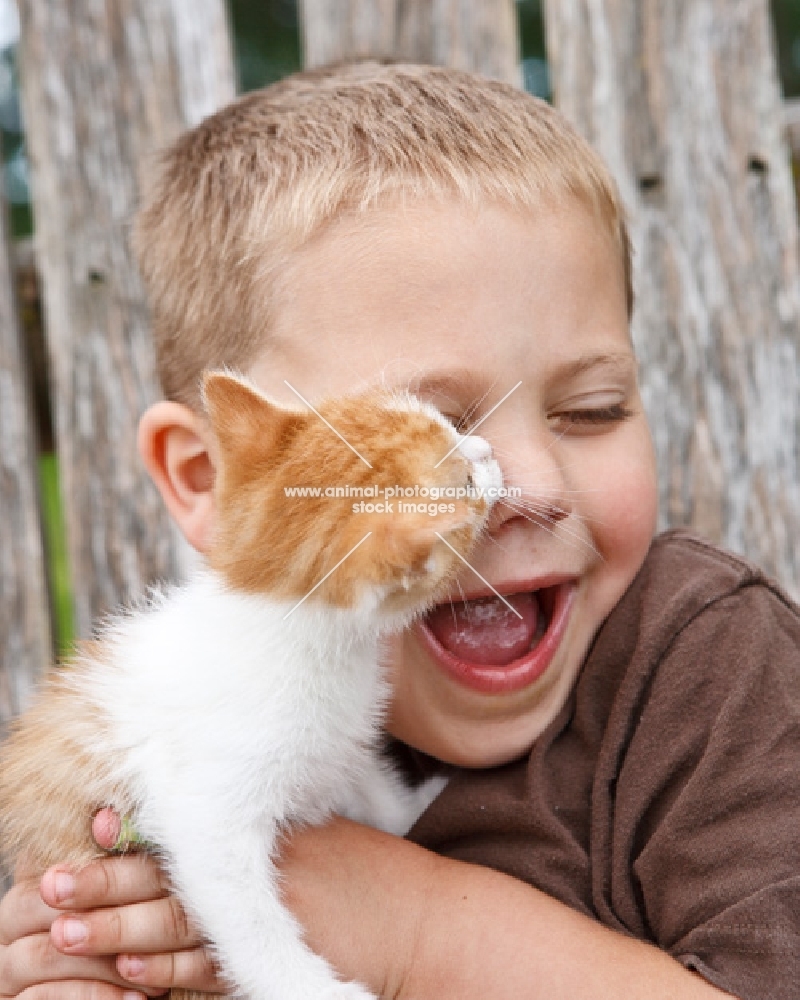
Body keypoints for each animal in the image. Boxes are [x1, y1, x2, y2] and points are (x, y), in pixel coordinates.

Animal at [0, 374, 500, 1000]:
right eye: (464, 480)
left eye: (451, 426)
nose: (489, 452)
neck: (285, 623)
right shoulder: (201, 809)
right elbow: (247, 917)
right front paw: (313, 989)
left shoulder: (334, 748)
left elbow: (368, 786)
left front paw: (412, 809)